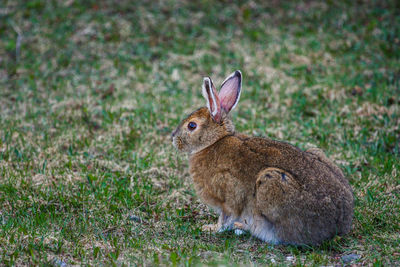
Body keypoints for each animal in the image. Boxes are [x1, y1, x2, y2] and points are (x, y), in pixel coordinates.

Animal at [171, 71, 354, 247]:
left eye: (192, 126)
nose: (173, 139)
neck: (213, 142)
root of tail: (339, 224)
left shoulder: (228, 195)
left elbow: (226, 216)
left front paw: (211, 228)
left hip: (271, 182)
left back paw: (243, 227)